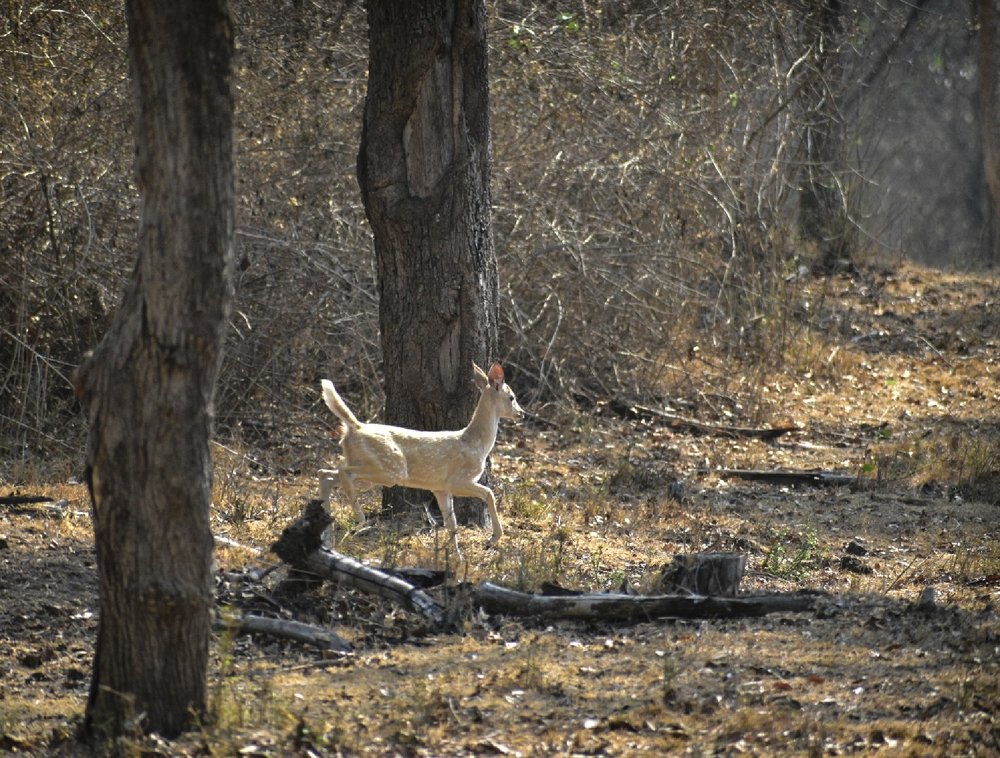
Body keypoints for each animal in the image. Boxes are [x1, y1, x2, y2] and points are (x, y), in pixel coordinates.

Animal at [318, 362, 524, 559]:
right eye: (512, 397)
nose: (521, 413)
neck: (476, 444)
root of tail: (355, 427)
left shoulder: (440, 488)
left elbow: (452, 524)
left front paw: (457, 559)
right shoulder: (458, 480)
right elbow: (489, 493)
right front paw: (492, 539)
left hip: (369, 471)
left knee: (326, 473)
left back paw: (326, 530)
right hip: (389, 470)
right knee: (342, 471)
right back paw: (359, 520)